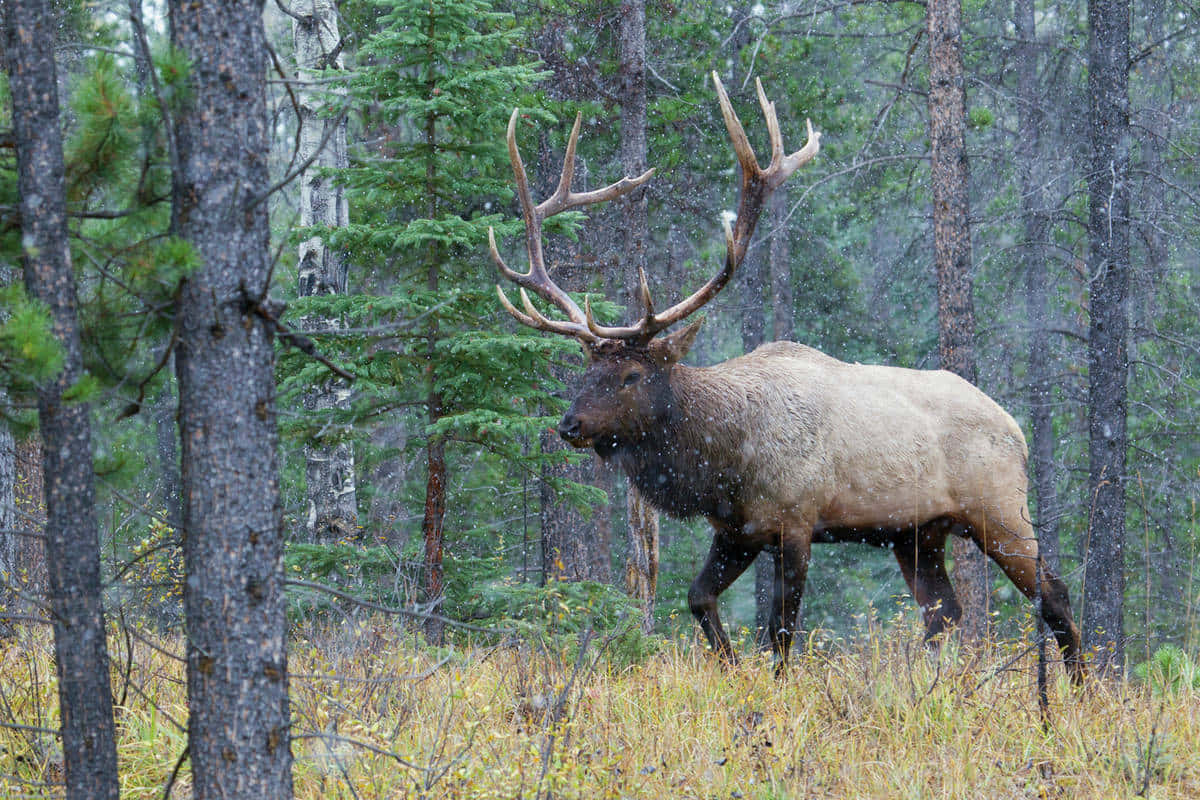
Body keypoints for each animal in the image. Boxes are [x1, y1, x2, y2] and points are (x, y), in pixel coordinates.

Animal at [482, 71, 1084, 681]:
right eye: (588, 368)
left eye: (630, 374)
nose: (570, 425)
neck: (724, 460)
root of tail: (1016, 429)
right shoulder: (737, 531)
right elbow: (700, 600)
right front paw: (730, 672)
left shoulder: (796, 522)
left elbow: (781, 632)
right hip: (918, 532)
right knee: (944, 612)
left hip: (999, 509)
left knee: (1054, 593)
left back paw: (1077, 689)